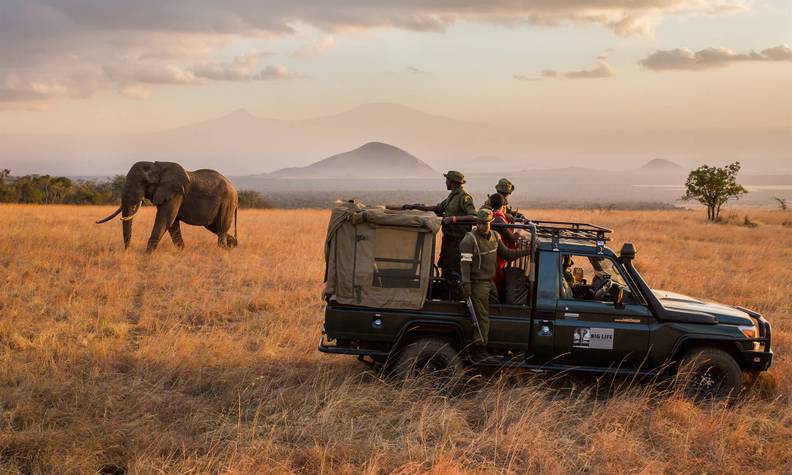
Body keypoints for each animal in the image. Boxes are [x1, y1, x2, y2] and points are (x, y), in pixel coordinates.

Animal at [96, 162, 238, 253]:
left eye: (144, 182)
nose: (127, 251)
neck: (157, 167)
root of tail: (234, 189)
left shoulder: (175, 193)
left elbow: (165, 219)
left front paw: (147, 255)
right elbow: (172, 223)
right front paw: (181, 252)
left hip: (227, 202)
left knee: (221, 227)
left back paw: (223, 250)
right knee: (215, 227)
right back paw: (232, 245)